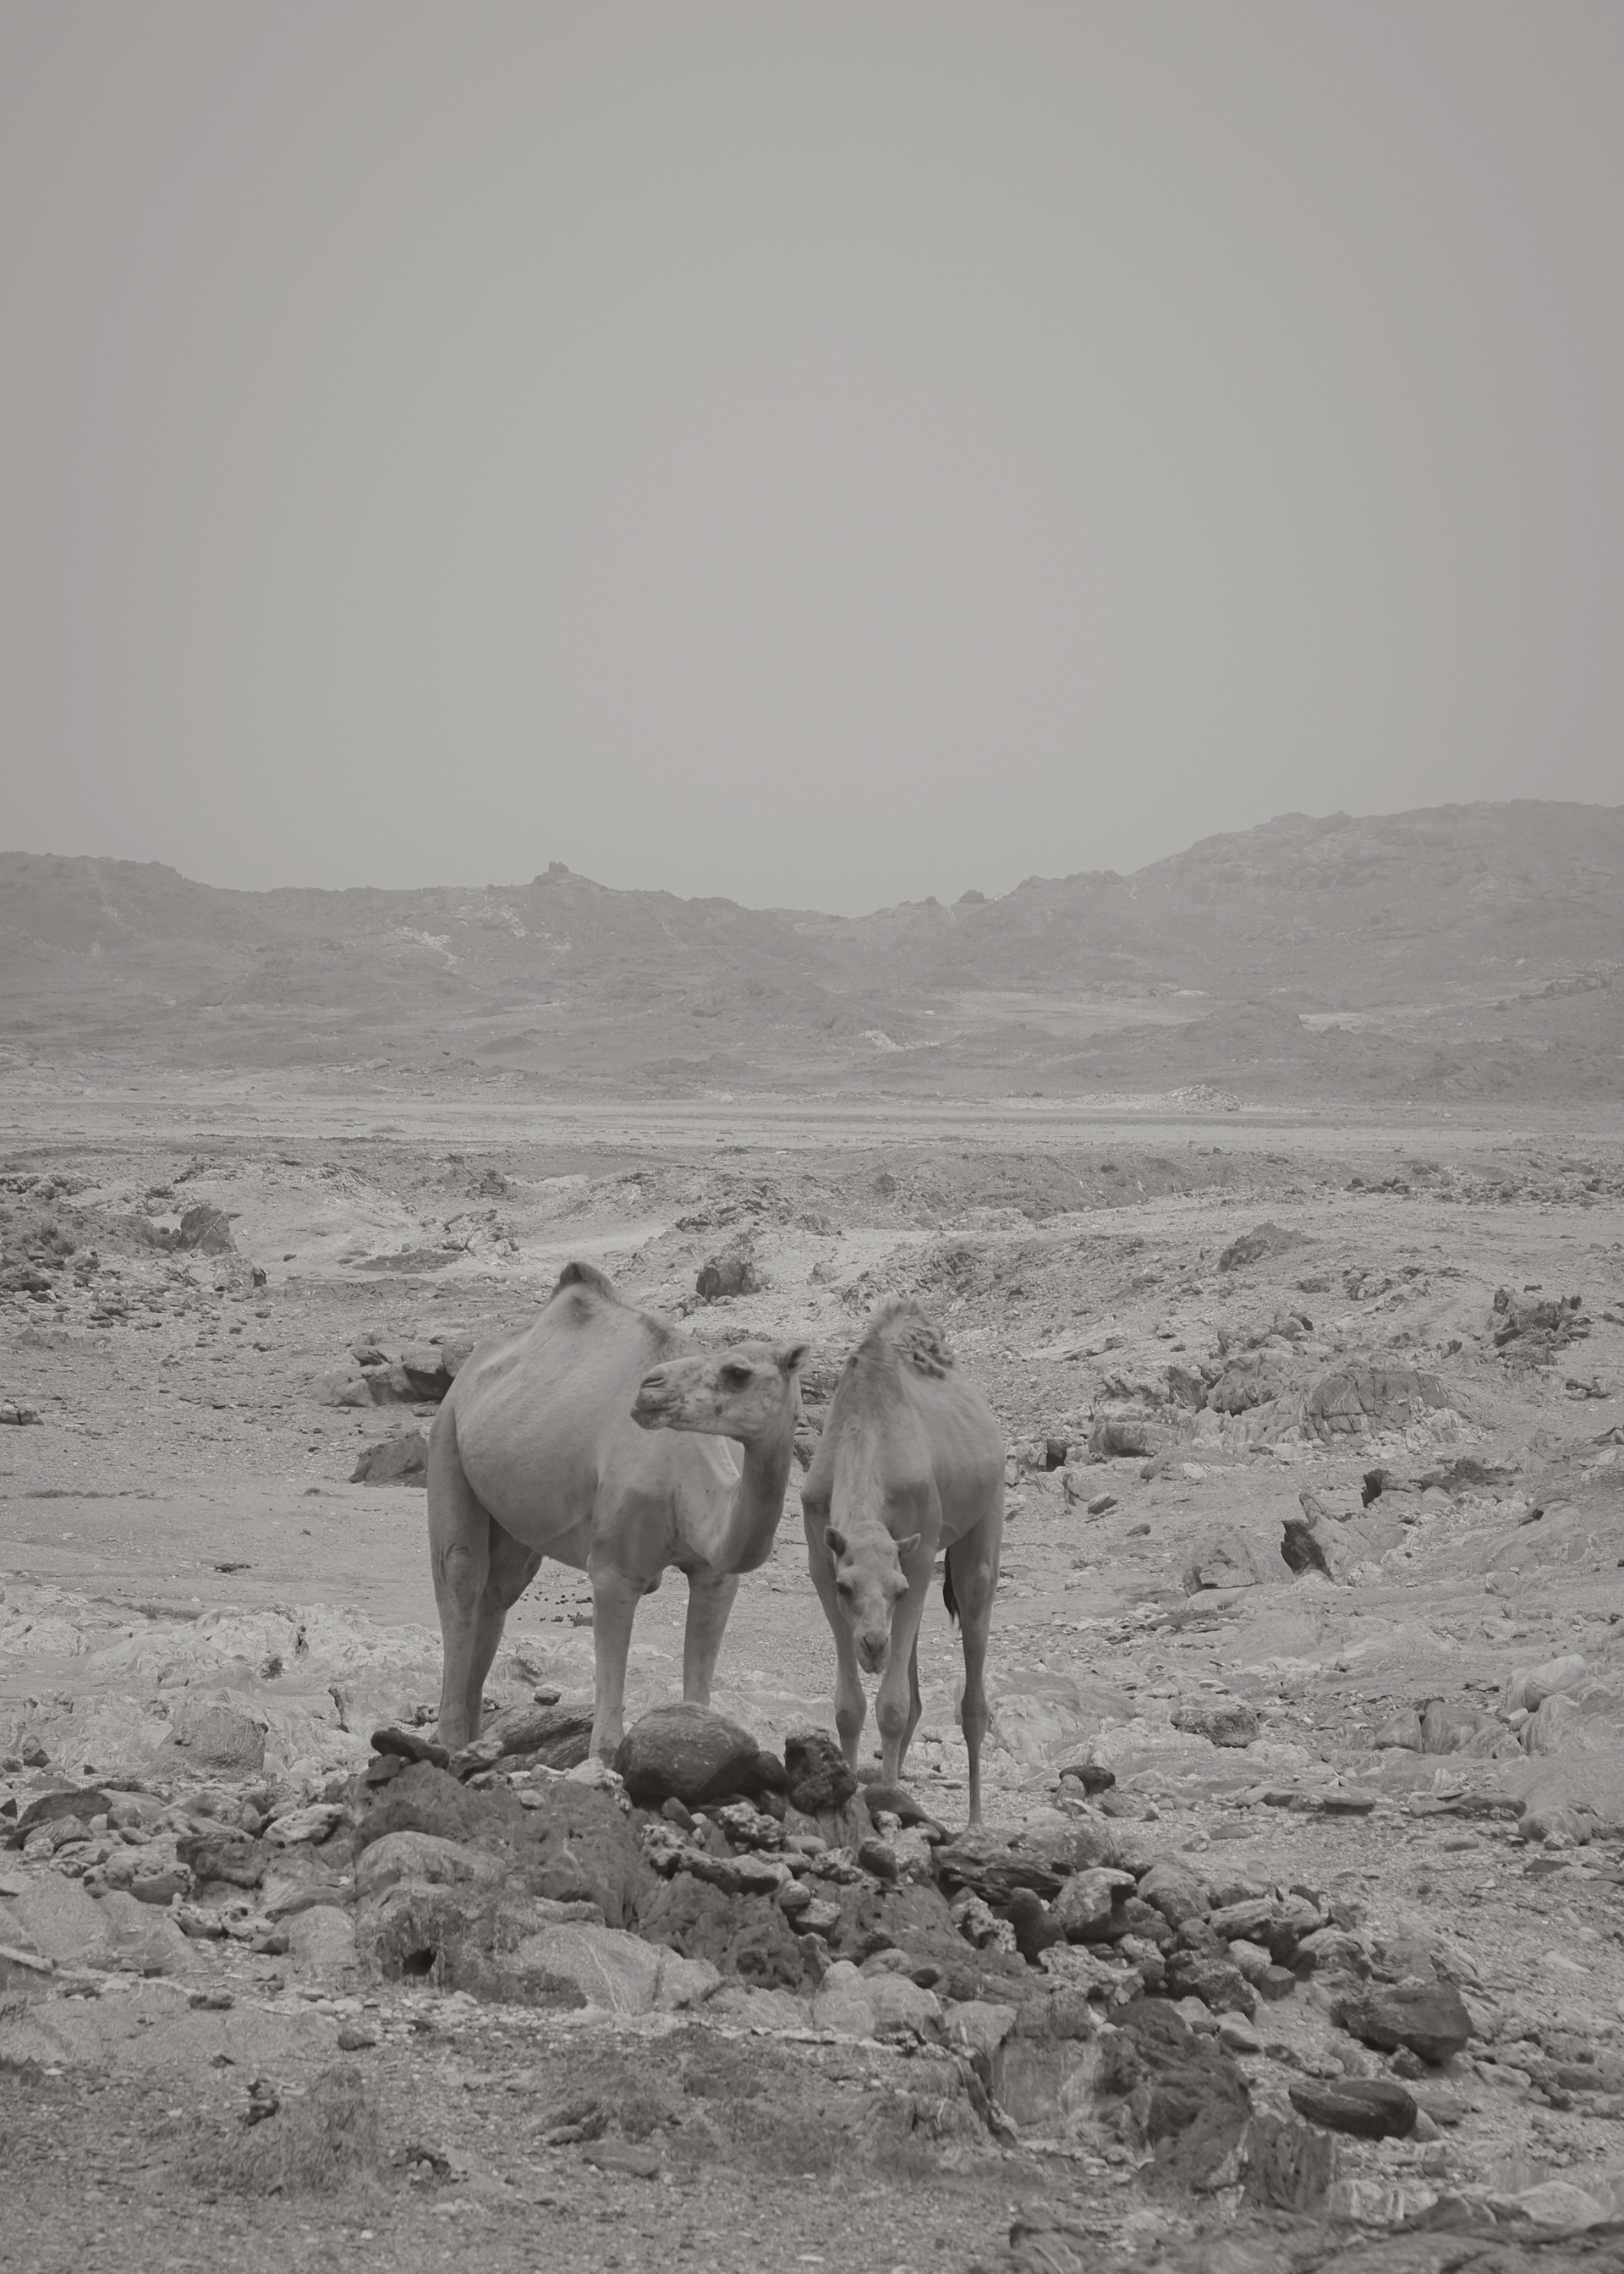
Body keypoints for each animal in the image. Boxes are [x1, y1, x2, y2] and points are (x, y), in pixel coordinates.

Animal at [428, 1261, 807, 1760]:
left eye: (737, 1371)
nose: (650, 1388)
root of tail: (466, 1372)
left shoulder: (716, 1573)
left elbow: (699, 1697)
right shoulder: (614, 1570)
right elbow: (607, 1733)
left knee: (500, 1589)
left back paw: (476, 1741)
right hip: (446, 1436)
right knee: (461, 1574)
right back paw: (452, 1743)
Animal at [800, 1298, 1004, 1824]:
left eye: (897, 1589)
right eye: (846, 1587)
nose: (872, 1644)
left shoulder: (922, 1549)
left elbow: (890, 1705)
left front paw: (888, 1803)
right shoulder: (820, 1559)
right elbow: (850, 1705)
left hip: (985, 1517)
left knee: (972, 1686)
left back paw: (975, 1820)